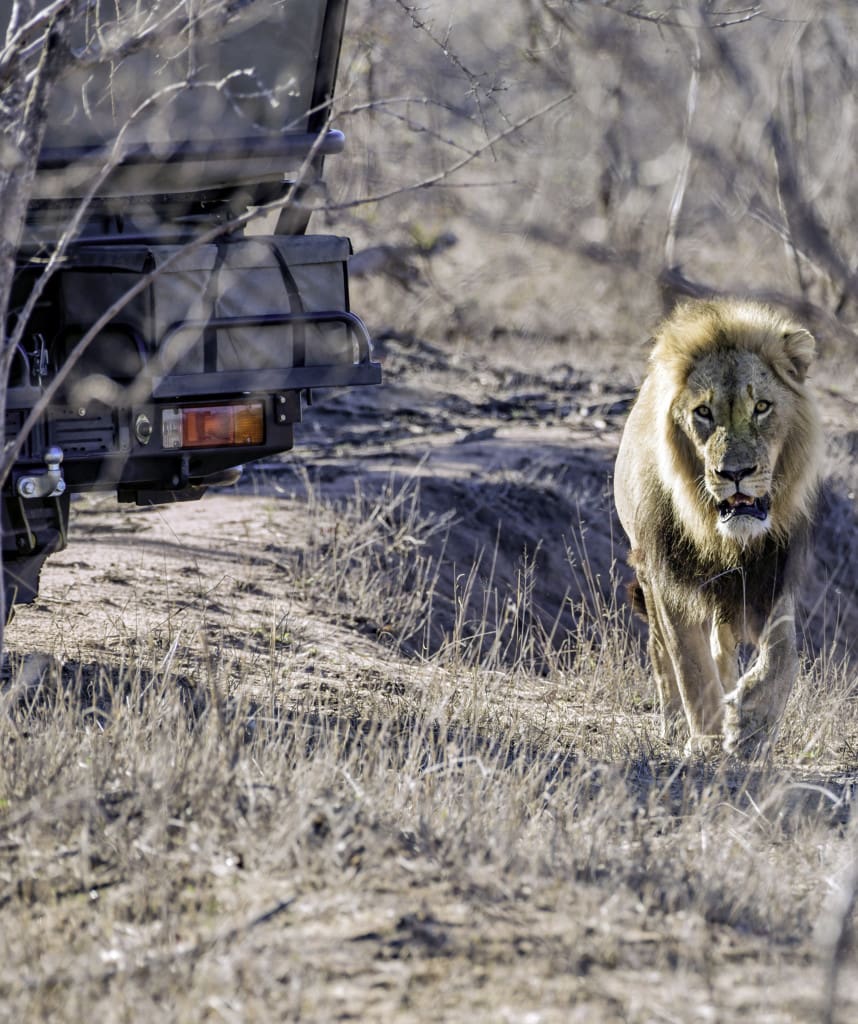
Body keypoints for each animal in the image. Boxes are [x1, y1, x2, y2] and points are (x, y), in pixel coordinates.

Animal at [614, 299, 823, 757]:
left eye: (762, 407)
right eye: (703, 412)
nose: (736, 473)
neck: (722, 537)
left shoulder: (770, 575)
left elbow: (784, 654)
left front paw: (752, 722)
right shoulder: (668, 577)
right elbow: (688, 663)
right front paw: (707, 737)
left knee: (720, 645)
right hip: (647, 571)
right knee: (661, 650)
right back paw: (677, 722)